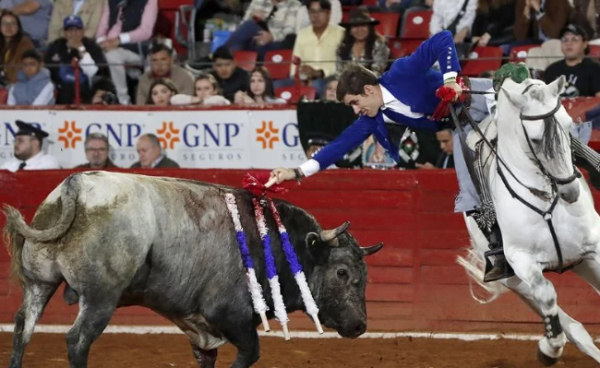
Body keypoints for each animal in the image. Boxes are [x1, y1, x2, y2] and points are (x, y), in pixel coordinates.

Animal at [2, 171, 382, 368]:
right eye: (343, 273)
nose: (360, 326)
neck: (272, 239)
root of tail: (75, 186)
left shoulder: (199, 326)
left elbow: (206, 356)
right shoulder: (231, 316)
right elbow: (250, 353)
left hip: (39, 283)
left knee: (23, 327)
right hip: (100, 298)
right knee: (77, 340)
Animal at [458, 75, 600, 366]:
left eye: (568, 126)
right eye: (535, 140)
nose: (570, 192)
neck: (546, 198)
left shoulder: (595, 247)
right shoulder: (521, 259)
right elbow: (547, 294)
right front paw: (549, 348)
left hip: (582, 262)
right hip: (513, 280)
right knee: (564, 319)